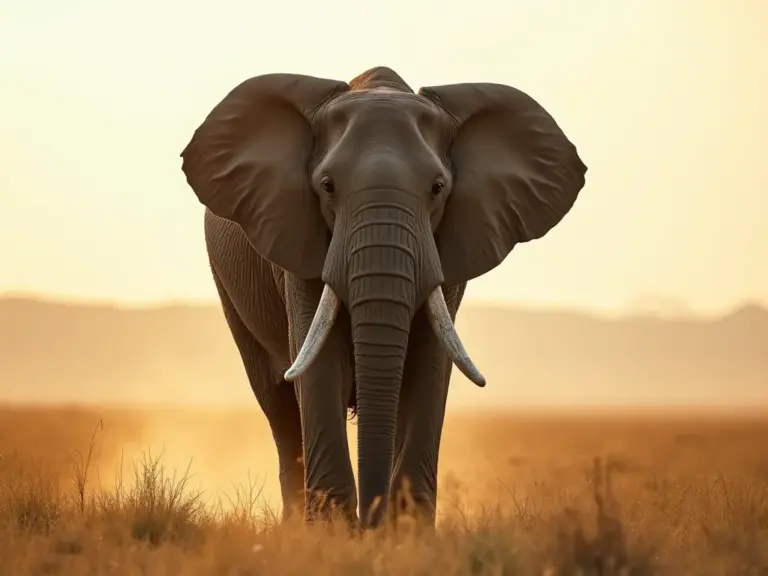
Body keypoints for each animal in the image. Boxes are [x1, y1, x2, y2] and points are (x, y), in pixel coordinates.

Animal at [179, 66, 587, 529]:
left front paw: (406, 533)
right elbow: (320, 364)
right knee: (276, 403)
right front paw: (333, 535)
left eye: (438, 188)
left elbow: (429, 364)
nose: (368, 525)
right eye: (326, 185)